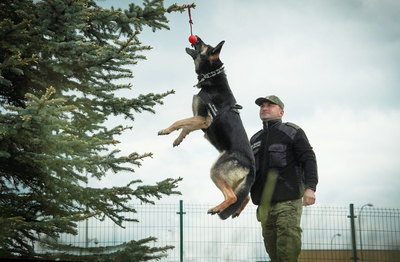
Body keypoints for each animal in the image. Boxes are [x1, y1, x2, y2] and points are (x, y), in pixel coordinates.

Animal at [158, 35, 255, 219]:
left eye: (203, 44)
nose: (195, 37)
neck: (211, 75)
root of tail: (252, 167)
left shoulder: (202, 119)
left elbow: (179, 121)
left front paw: (166, 130)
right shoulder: (198, 119)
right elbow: (186, 127)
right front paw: (178, 139)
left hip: (216, 172)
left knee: (232, 197)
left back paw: (217, 208)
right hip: (234, 182)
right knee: (244, 197)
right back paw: (234, 211)